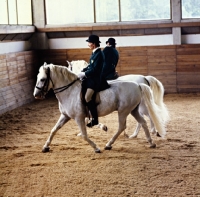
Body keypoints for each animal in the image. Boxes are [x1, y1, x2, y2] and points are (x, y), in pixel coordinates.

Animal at [33, 62, 166, 152]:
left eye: (43, 79)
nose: (36, 95)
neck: (70, 91)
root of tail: (138, 84)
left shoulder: (78, 117)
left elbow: (85, 135)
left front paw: (96, 147)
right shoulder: (65, 116)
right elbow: (54, 130)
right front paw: (45, 147)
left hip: (124, 111)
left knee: (123, 126)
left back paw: (109, 144)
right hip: (133, 110)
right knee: (143, 121)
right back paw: (150, 142)